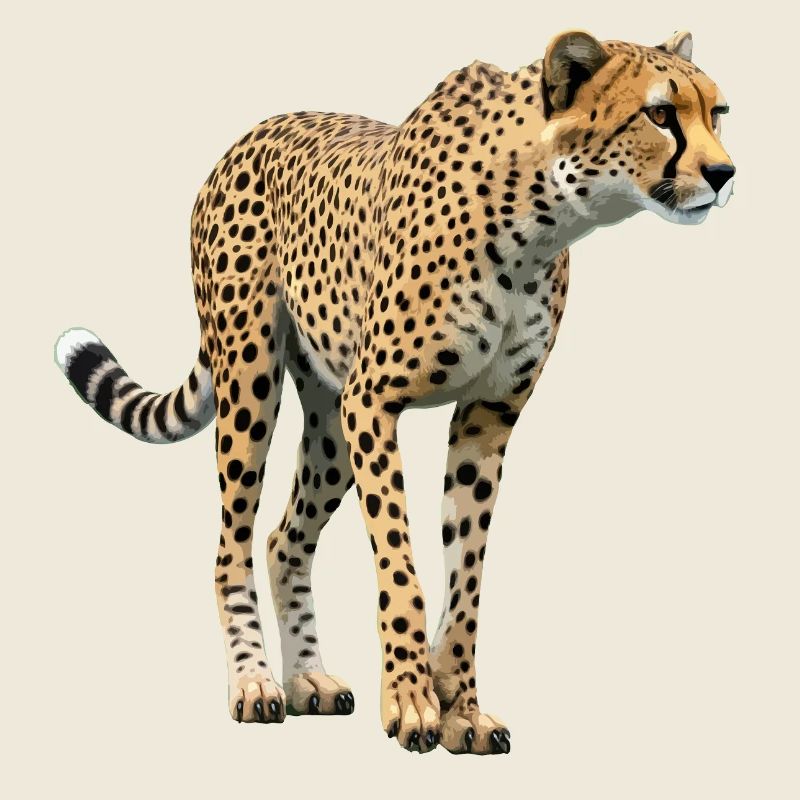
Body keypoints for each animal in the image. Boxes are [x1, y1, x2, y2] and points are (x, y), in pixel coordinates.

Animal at [55, 29, 735, 755]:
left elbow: (466, 577)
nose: (725, 174)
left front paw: (460, 707)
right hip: (251, 379)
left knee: (284, 539)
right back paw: (255, 684)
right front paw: (412, 701)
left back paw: (308, 679)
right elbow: (401, 567)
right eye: (659, 114)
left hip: (329, 422)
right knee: (230, 545)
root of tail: (249, 135)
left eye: (716, 113)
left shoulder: (486, 418)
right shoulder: (373, 403)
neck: (540, 217)